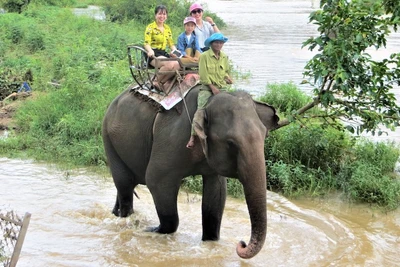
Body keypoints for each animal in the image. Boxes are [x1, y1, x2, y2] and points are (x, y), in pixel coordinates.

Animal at [101, 85, 280, 260]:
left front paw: (210, 241)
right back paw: (127, 220)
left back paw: (116, 213)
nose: (241, 243)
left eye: (265, 135)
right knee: (124, 185)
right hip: (108, 137)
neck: (207, 102)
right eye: (231, 143)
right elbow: (156, 181)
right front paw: (151, 230)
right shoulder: (172, 140)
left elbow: (216, 194)